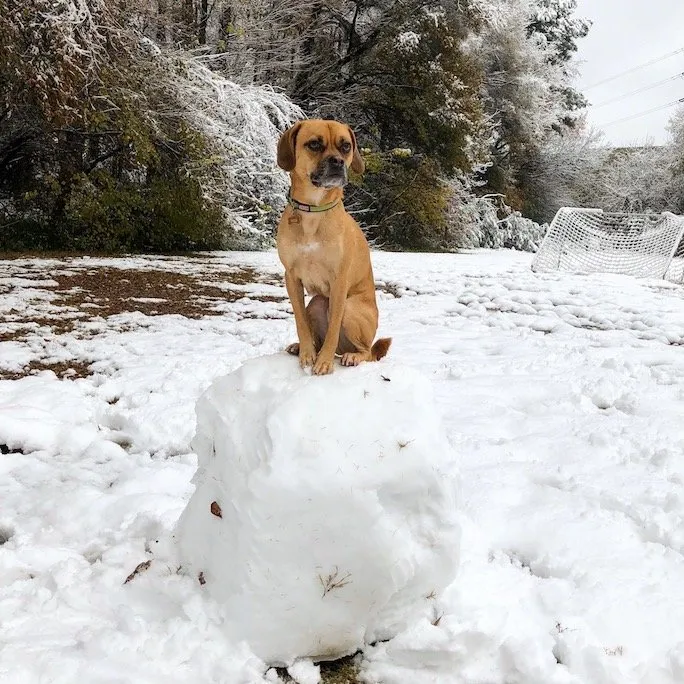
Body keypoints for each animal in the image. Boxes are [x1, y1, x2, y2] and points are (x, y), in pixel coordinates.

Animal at [274, 117, 390, 374]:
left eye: (345, 146)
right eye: (314, 144)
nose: (337, 161)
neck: (313, 210)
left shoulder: (339, 281)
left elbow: (334, 327)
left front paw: (324, 362)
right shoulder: (291, 277)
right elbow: (300, 321)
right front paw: (308, 354)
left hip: (351, 308)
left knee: (367, 351)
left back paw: (352, 356)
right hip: (317, 303)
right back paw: (301, 347)